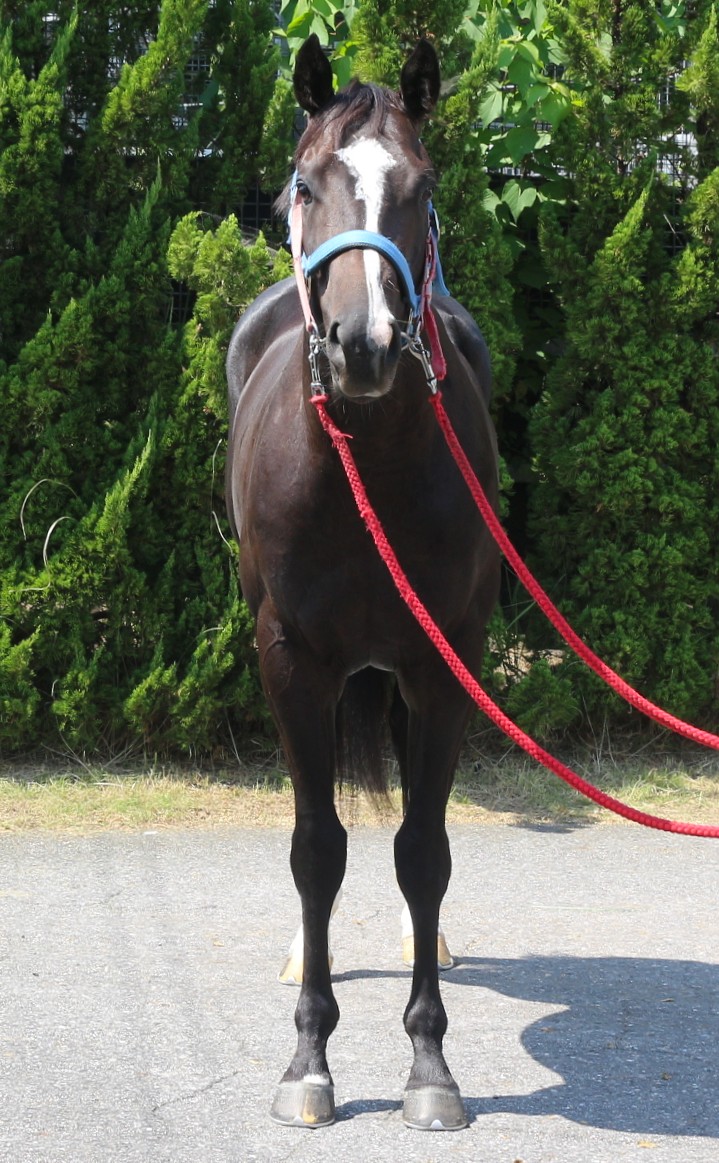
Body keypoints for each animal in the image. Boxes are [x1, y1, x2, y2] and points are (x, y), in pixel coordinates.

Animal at [225, 34, 500, 1131]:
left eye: (421, 190)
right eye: (306, 185)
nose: (365, 345)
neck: (367, 458)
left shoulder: (443, 659)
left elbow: (421, 850)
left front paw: (428, 1064)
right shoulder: (291, 661)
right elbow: (317, 849)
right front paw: (309, 1058)